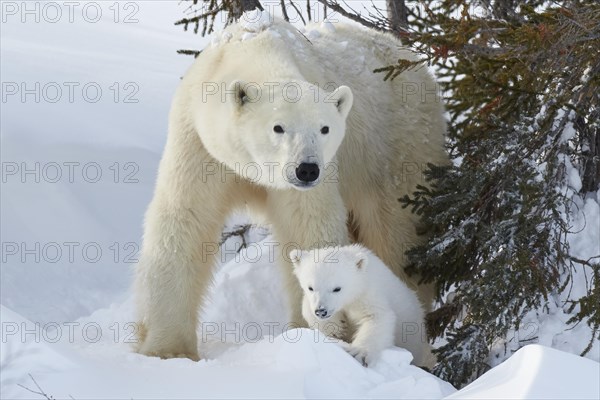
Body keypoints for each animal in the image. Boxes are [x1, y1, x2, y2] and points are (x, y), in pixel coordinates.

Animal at [135, 14, 446, 360]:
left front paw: (321, 331)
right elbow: (185, 220)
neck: (254, 46)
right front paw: (167, 350)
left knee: (397, 235)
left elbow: (307, 224)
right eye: (278, 127)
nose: (307, 169)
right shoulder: (199, 143)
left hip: (397, 145)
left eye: (325, 128)